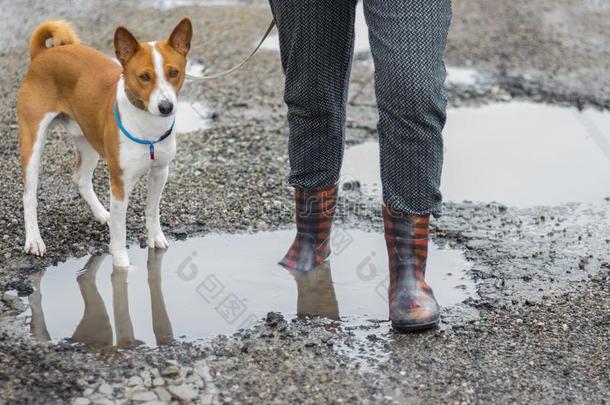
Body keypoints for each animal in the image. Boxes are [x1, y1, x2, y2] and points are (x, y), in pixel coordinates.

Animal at [19, 18, 191, 266]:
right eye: (144, 77)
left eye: (174, 72)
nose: (166, 107)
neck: (148, 127)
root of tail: (42, 54)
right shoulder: (120, 183)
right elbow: (119, 233)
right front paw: (122, 266)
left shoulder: (160, 171)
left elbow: (152, 210)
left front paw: (156, 238)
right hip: (32, 144)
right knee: (29, 196)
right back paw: (34, 240)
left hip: (88, 140)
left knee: (81, 178)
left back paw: (102, 214)